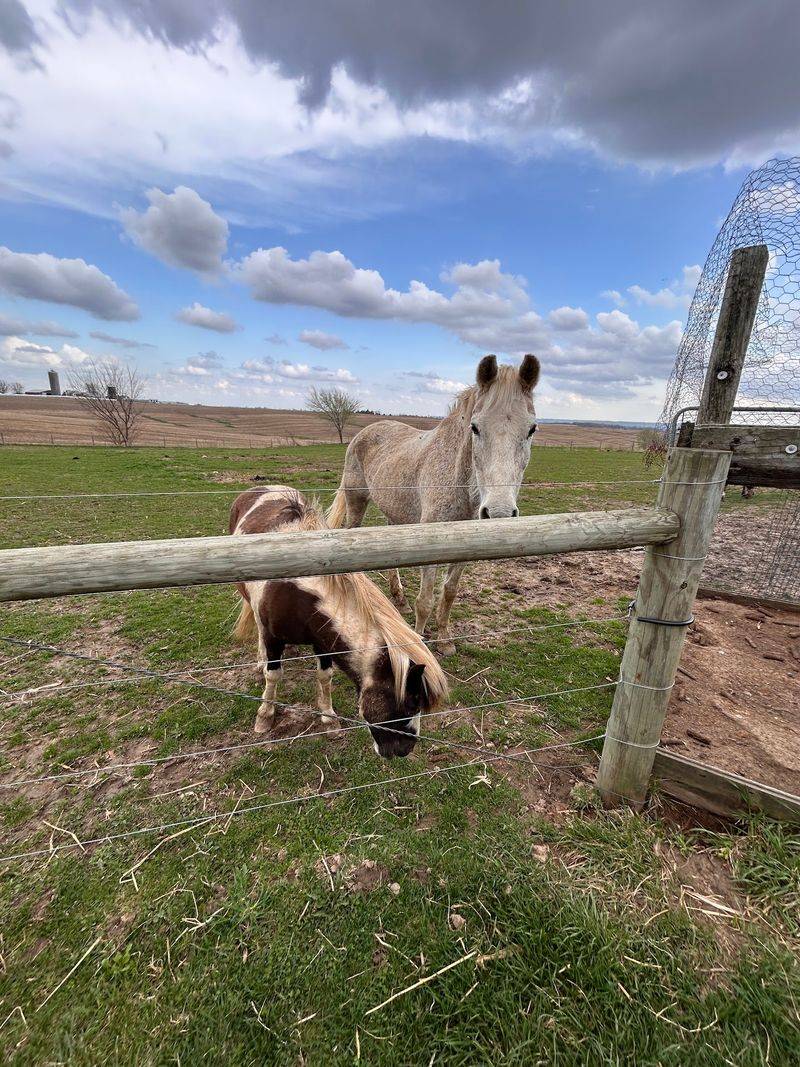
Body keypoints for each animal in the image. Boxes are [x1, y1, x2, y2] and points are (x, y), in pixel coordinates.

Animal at [230, 487, 448, 758]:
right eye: (411, 702)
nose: (405, 750)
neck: (298, 594)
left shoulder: (323, 641)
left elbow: (325, 676)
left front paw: (328, 717)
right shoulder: (273, 637)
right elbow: (274, 675)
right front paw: (265, 715)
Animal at [327, 354, 540, 655]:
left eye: (531, 428)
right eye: (475, 427)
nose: (498, 513)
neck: (459, 483)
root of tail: (365, 432)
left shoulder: (465, 550)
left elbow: (448, 594)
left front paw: (445, 639)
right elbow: (426, 600)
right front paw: (422, 643)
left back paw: (399, 598)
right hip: (356, 503)